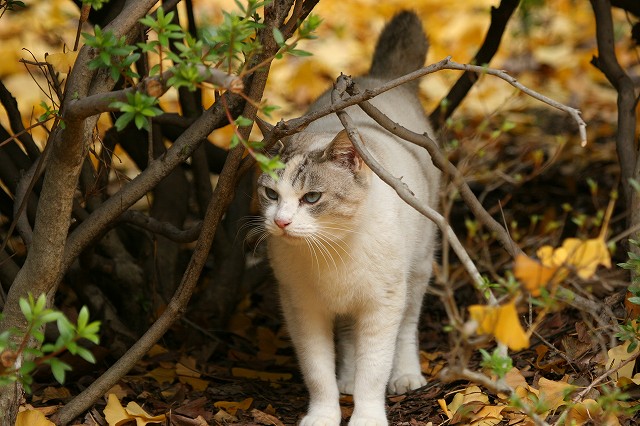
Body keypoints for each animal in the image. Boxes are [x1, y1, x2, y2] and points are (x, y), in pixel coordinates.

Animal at [255, 10, 440, 426]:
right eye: (271, 195)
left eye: (311, 198)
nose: (281, 222)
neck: (330, 250)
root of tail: (379, 79)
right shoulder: (303, 310)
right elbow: (318, 373)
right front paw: (324, 415)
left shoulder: (381, 307)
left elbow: (375, 372)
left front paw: (367, 416)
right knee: (347, 340)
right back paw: (347, 380)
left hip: (417, 270)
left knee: (407, 327)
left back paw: (406, 375)